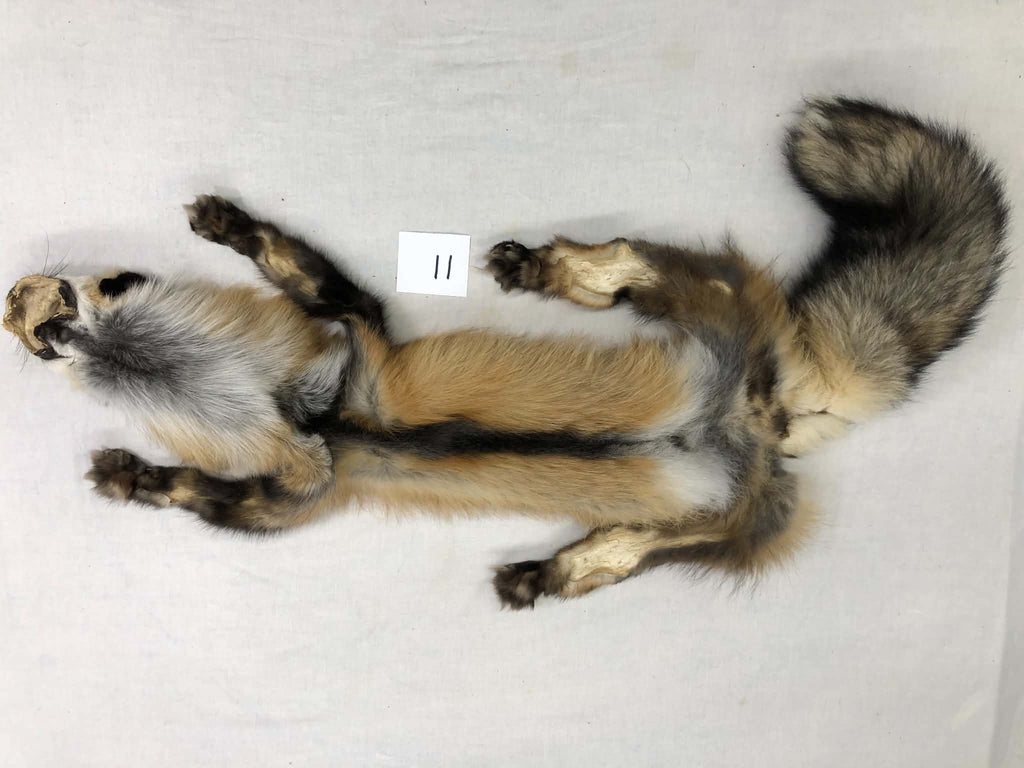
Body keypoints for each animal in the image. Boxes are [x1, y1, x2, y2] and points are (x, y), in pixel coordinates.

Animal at [3, 97, 1008, 609]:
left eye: (70, 300)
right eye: (42, 327)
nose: (20, 306)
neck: (318, 414)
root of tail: (766, 419)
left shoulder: (338, 387)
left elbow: (294, 279)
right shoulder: (317, 451)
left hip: (704, 322)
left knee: (627, 266)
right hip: (708, 515)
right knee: (623, 554)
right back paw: (550, 567)